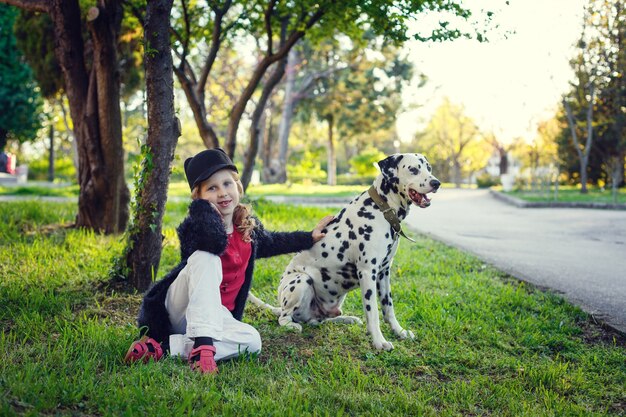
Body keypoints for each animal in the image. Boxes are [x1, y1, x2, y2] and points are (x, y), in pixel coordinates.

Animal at [249, 153, 438, 348]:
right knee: (284, 318)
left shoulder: (384, 272)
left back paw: (347, 319)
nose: (436, 183)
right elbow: (373, 312)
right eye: (413, 169)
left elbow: (388, 308)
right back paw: (292, 325)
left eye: (429, 168)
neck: (381, 208)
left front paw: (399, 332)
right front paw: (379, 341)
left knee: (319, 320)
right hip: (300, 280)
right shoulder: (367, 272)